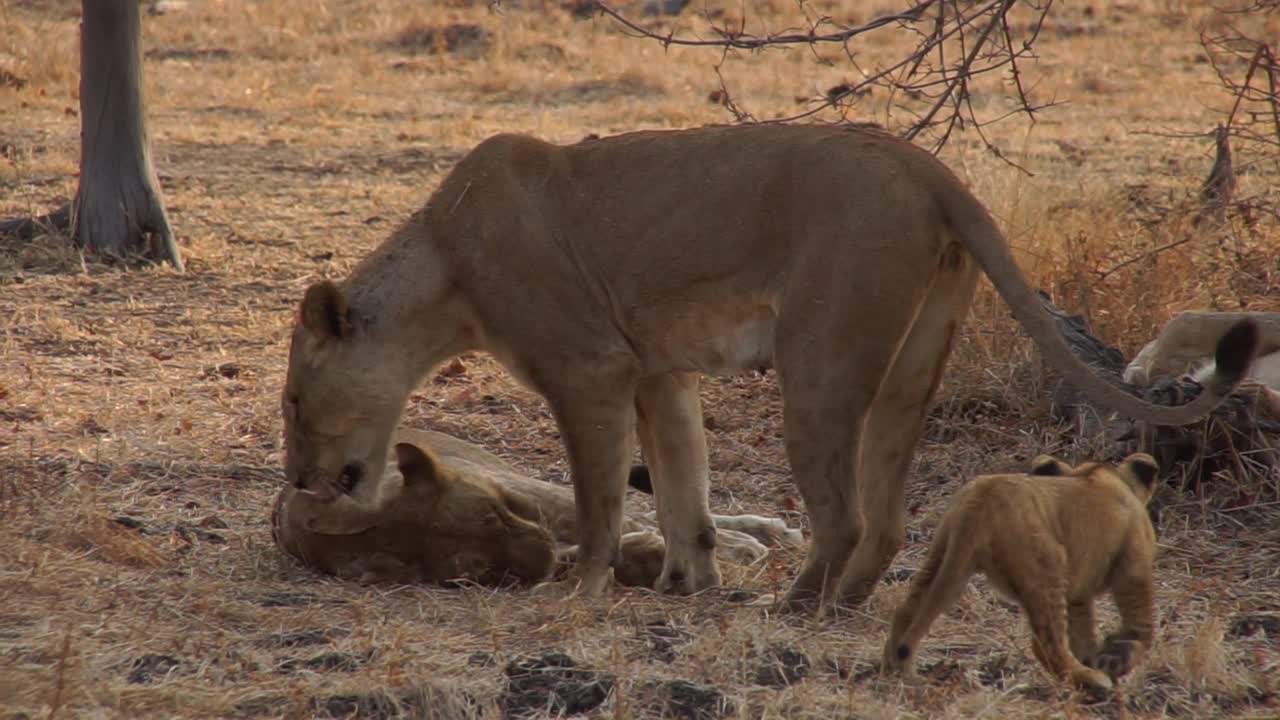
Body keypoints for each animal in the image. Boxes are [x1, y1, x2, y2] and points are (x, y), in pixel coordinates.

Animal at [275, 427, 798, 586]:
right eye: (476, 572)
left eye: (492, 512)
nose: (543, 555)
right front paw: (645, 558)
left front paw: (740, 547)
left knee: (658, 509)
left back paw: (763, 532)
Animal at [885, 450, 1157, 691]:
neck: (1107, 476)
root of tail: (979, 501)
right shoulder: (1133, 561)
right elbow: (1140, 620)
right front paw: (1118, 657)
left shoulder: (1079, 590)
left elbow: (1083, 630)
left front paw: (1095, 656)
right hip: (1047, 567)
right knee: (1047, 645)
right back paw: (1094, 680)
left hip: (942, 554)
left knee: (906, 611)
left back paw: (894, 672)